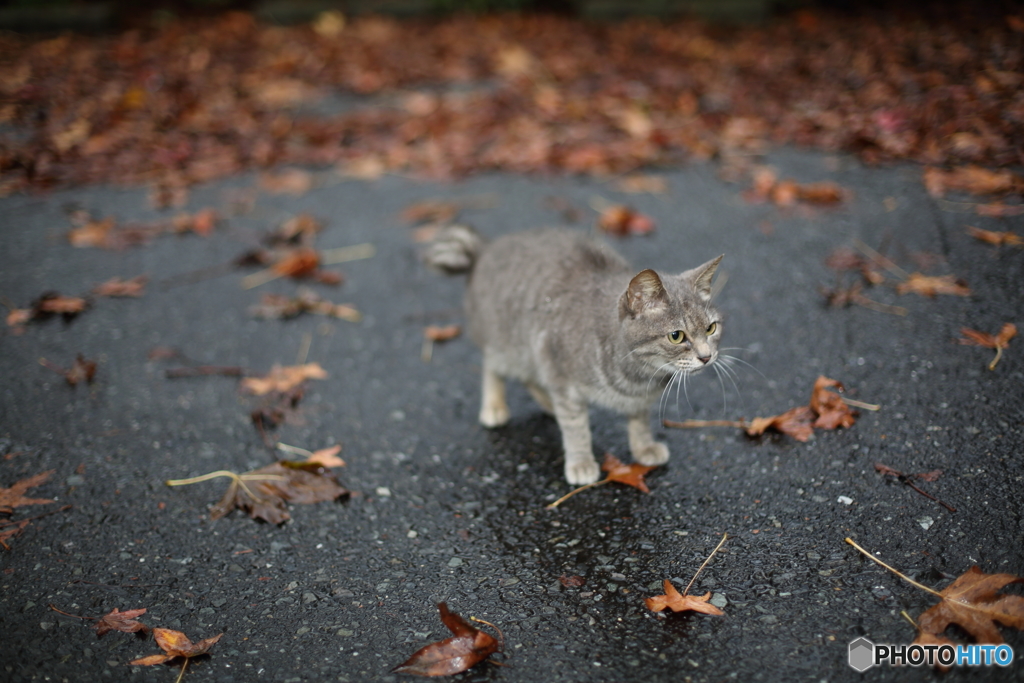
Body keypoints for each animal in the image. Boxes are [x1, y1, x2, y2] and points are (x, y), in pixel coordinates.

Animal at [423, 227, 720, 483]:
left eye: (711, 328)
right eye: (676, 336)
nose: (707, 356)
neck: (639, 376)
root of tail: (485, 248)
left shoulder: (636, 398)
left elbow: (639, 420)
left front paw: (643, 447)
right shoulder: (561, 377)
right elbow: (576, 428)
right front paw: (581, 462)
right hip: (509, 346)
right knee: (492, 367)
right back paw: (495, 407)